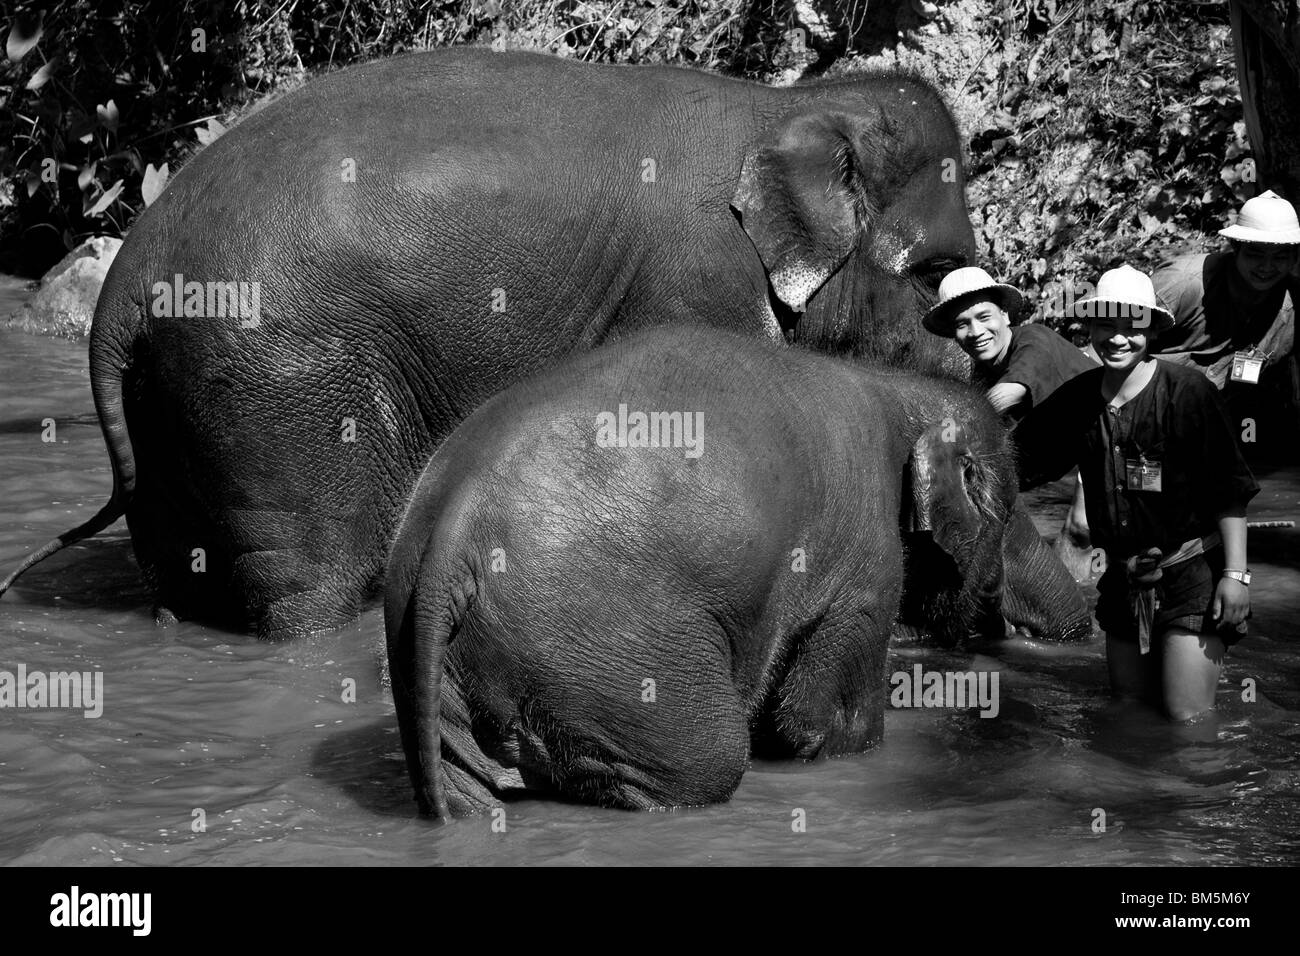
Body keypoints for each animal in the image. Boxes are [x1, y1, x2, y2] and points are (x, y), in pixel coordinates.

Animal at [2, 48, 977, 639]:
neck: (786, 108)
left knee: (180, 578)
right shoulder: (702, 279)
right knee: (313, 586)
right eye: (936, 274)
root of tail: (120, 294)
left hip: (176, 405)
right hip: (276, 387)